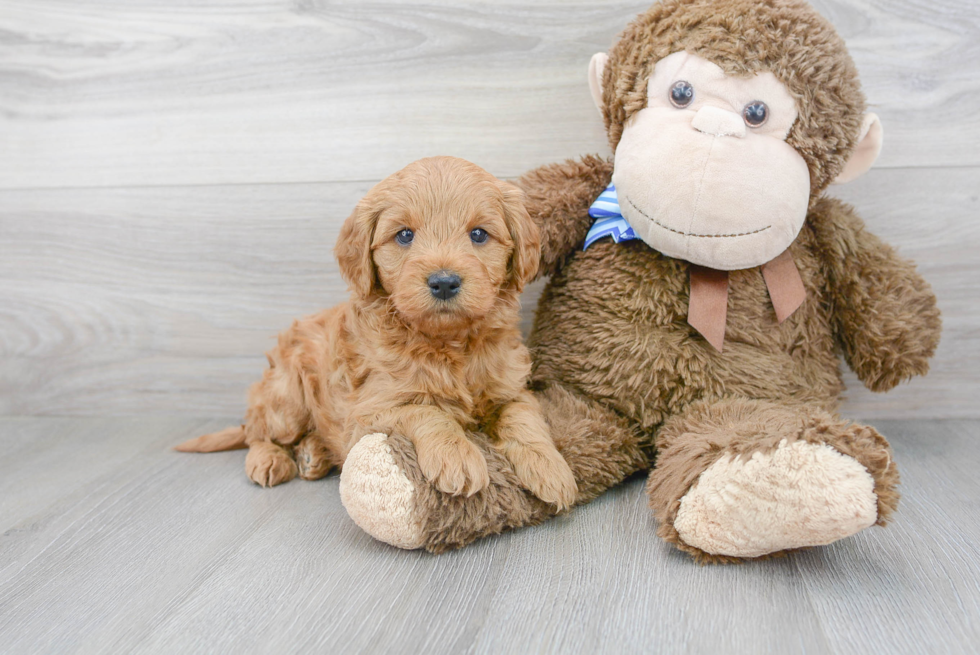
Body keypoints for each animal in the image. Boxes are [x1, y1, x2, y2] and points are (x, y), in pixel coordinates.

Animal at [177, 156, 580, 510]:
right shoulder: (370, 412)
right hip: (286, 396)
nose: (444, 282)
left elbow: (523, 418)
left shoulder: (511, 387)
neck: (447, 342)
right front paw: (456, 455)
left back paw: (313, 454)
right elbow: (426, 411)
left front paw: (551, 469)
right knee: (257, 431)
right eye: (404, 236)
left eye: (479, 234)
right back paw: (270, 460)